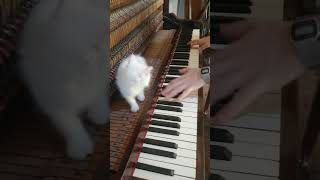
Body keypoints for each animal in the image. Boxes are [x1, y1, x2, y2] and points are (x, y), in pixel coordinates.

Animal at [17, 0, 109, 160]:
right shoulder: (56, 103)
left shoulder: (97, 88)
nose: (101, 44)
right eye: (92, 46)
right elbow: (71, 126)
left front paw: (100, 117)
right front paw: (80, 150)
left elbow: (98, 101)